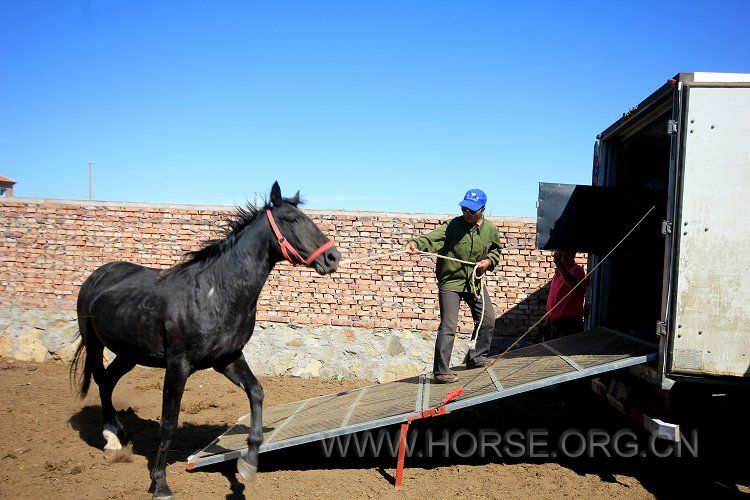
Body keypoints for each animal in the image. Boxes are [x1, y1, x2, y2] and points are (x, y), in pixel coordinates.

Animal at [70, 184, 340, 500]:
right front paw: (160, 484)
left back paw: (115, 437)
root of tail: (98, 275)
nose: (333, 257)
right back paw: (110, 438)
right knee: (101, 378)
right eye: (292, 219)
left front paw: (248, 463)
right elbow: (169, 423)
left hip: (129, 354)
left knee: (107, 381)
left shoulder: (228, 358)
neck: (216, 293)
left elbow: (256, 392)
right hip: (95, 344)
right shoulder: (178, 365)